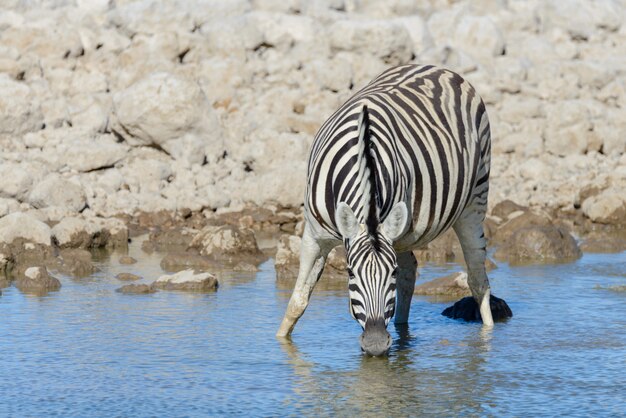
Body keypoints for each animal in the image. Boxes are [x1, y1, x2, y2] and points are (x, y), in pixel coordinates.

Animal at [276, 62, 510, 356]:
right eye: (350, 272)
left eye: (390, 272)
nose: (375, 344)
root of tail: (436, 68)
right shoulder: (314, 236)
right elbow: (298, 300)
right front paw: (281, 341)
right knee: (412, 273)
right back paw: (402, 329)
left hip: (474, 200)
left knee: (478, 282)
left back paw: (486, 336)